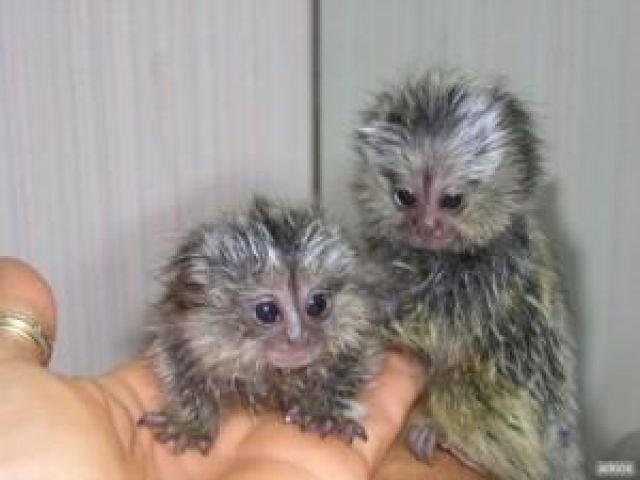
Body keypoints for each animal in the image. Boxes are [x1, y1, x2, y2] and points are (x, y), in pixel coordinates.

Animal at [138, 197, 383, 454]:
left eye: (318, 304)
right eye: (267, 312)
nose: (298, 338)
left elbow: (352, 363)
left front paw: (323, 411)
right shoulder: (177, 330)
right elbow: (181, 372)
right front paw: (191, 424)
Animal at [351, 70, 583, 479]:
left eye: (451, 200)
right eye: (405, 197)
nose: (425, 226)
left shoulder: (494, 271)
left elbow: (441, 325)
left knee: (456, 385)